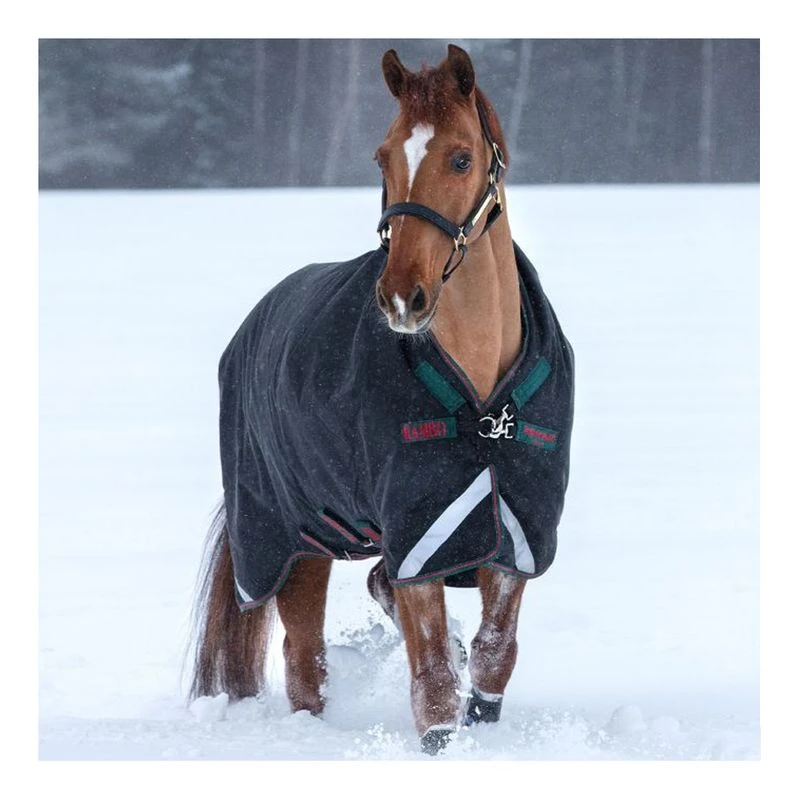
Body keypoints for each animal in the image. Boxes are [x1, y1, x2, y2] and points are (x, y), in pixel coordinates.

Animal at [188, 44, 574, 756]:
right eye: (382, 156)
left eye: (461, 157)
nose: (401, 297)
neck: (482, 406)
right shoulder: (419, 530)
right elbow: (434, 683)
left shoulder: (514, 531)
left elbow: (492, 656)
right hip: (295, 544)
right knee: (304, 663)